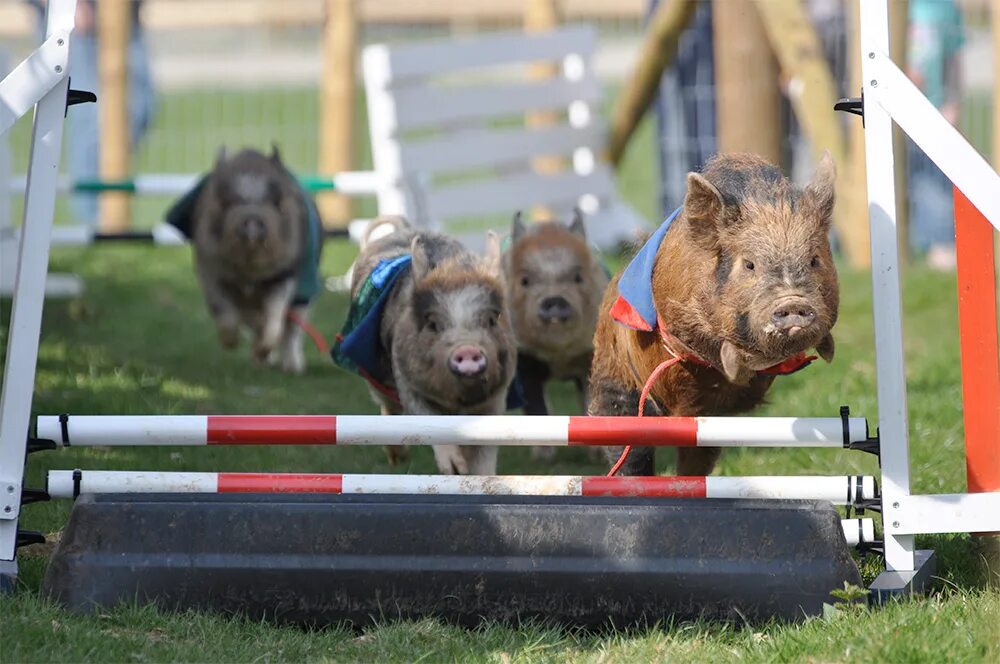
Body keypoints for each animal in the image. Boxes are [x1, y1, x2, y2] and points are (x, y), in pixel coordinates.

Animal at [334, 217, 520, 472]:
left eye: (492, 318)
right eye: (432, 323)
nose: (468, 349)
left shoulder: (496, 396)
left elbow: (484, 454)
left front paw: (470, 473)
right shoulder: (405, 377)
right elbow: (427, 421)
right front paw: (453, 468)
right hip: (375, 377)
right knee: (388, 408)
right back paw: (397, 459)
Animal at [588, 154, 840, 478]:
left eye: (814, 260)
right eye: (749, 264)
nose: (793, 301)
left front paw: (827, 351)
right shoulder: (676, 318)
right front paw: (734, 365)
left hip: (707, 427)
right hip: (618, 384)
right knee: (628, 446)